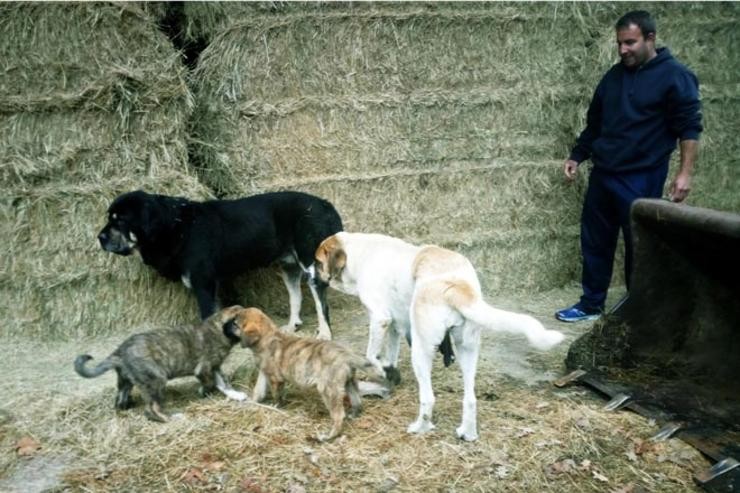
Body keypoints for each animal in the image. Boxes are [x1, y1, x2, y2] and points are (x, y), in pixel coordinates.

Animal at [76, 304, 249, 418]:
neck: (218, 329)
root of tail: (121, 351)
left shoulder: (215, 366)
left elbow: (223, 383)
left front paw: (236, 395)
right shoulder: (204, 368)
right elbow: (211, 384)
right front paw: (203, 392)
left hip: (127, 381)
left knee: (120, 399)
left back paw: (127, 406)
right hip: (155, 380)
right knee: (150, 409)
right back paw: (171, 418)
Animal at [97, 189, 342, 338]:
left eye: (120, 220)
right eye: (110, 217)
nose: (100, 237)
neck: (176, 227)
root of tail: (326, 204)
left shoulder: (204, 283)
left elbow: (206, 317)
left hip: (312, 265)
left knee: (321, 303)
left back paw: (325, 333)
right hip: (289, 267)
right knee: (296, 297)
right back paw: (292, 326)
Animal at [224, 306, 388, 440]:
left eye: (235, 323)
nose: (223, 327)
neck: (267, 336)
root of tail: (345, 354)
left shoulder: (275, 379)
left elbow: (277, 395)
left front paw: (276, 406)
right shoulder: (264, 373)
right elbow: (259, 389)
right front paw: (254, 401)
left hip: (328, 390)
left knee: (338, 415)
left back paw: (328, 436)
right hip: (350, 382)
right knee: (357, 401)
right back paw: (353, 415)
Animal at [310, 233, 564, 440]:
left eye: (317, 261)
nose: (309, 277)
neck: (360, 254)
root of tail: (456, 286)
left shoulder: (380, 318)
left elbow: (372, 356)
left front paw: (383, 372)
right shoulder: (395, 325)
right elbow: (389, 356)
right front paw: (389, 374)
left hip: (421, 350)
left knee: (429, 397)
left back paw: (420, 428)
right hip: (467, 350)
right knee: (470, 399)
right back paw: (467, 433)